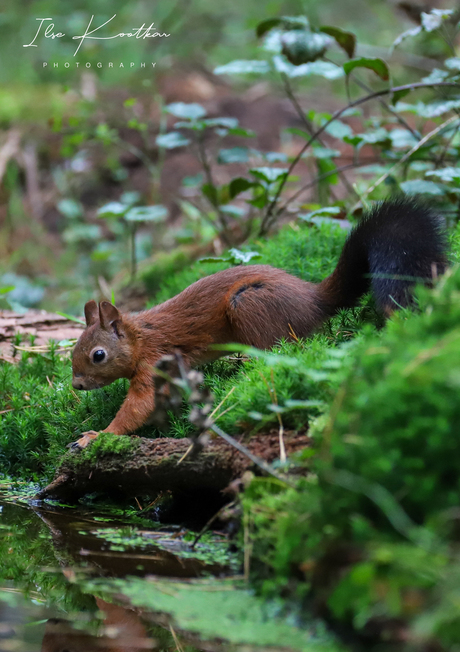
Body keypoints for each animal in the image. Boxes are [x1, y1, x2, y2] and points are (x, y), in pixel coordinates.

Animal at [71, 199, 446, 448]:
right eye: (74, 350)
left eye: (98, 355)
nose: (76, 385)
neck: (139, 336)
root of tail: (313, 299)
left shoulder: (153, 361)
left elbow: (138, 407)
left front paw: (96, 435)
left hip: (249, 304)